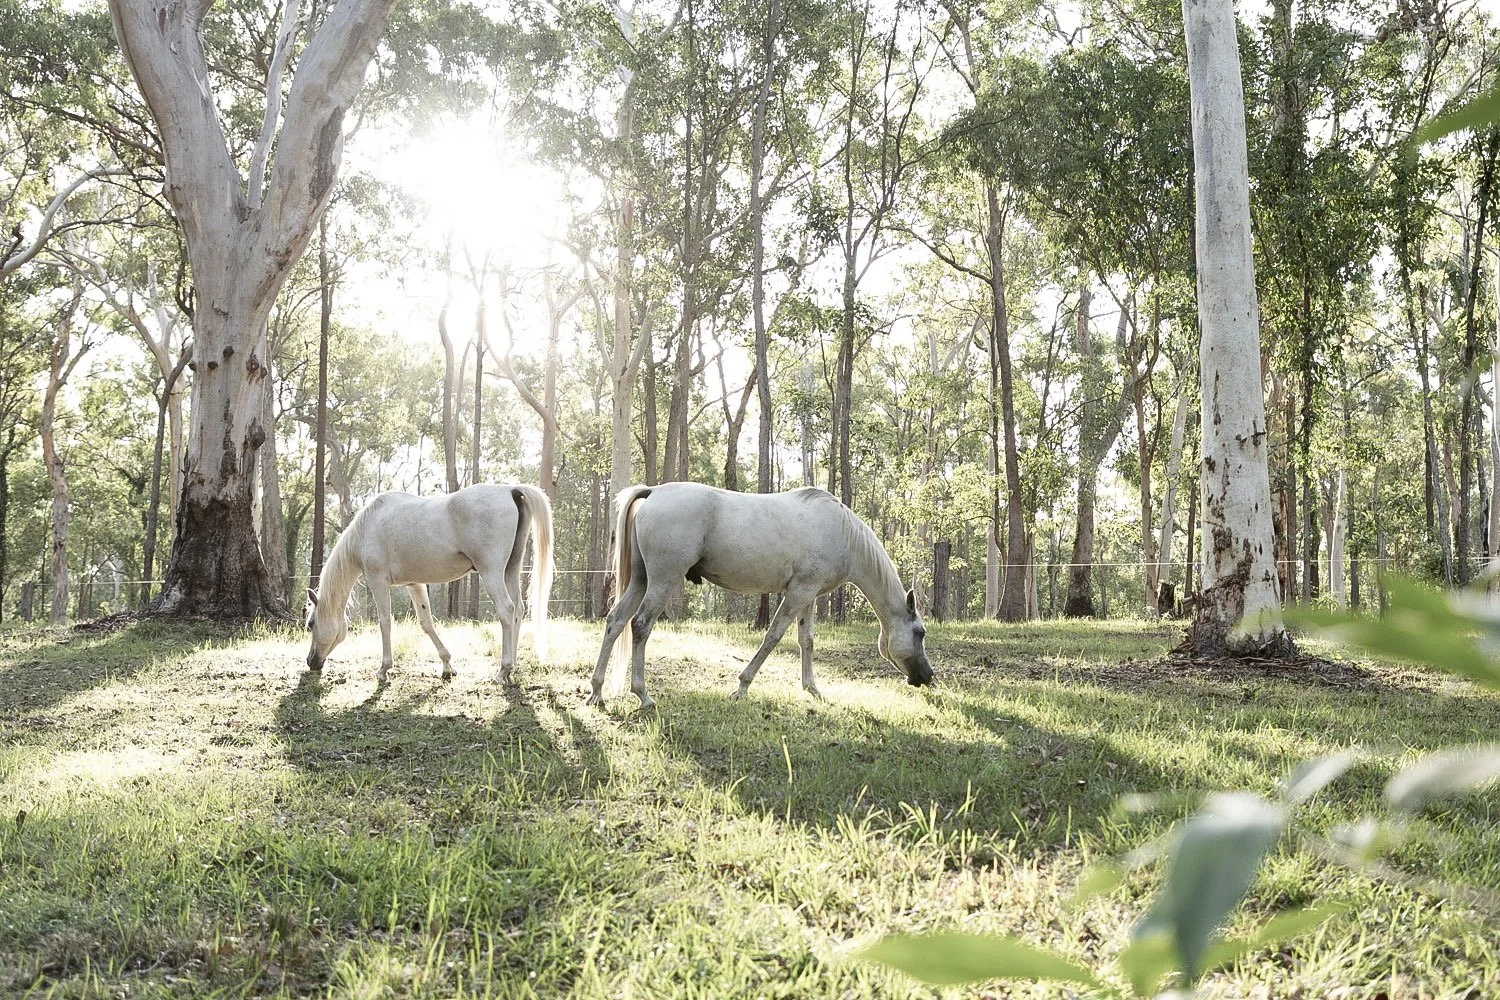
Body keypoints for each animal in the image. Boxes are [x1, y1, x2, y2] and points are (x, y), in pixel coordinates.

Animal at [305, 483, 555, 684]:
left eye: (310, 624)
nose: (311, 662)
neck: (366, 529)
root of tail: (509, 490)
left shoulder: (378, 581)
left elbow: (385, 622)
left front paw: (383, 669)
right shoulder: (414, 584)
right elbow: (427, 623)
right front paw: (447, 666)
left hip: (491, 572)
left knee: (506, 609)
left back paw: (504, 670)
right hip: (510, 570)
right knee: (518, 610)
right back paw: (513, 665)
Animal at [587, 482, 933, 709]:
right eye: (920, 633)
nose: (928, 676)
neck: (843, 534)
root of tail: (655, 491)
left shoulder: (808, 594)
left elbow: (806, 641)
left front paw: (813, 689)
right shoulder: (798, 593)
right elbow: (773, 637)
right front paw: (742, 687)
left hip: (641, 579)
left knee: (616, 621)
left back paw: (597, 691)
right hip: (662, 580)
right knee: (640, 625)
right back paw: (642, 695)